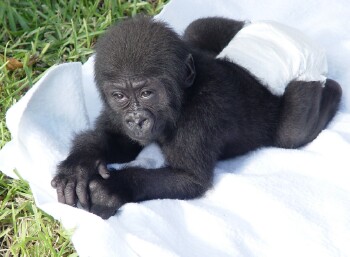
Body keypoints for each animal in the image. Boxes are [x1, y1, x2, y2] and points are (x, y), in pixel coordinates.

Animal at [52, 16, 342, 218]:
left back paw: (333, 91)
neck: (184, 95)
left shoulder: (201, 115)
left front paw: (113, 189)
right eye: (119, 96)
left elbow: (190, 179)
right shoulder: (117, 115)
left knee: (291, 133)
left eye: (147, 93)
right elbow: (119, 142)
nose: (136, 119)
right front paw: (79, 165)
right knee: (196, 28)